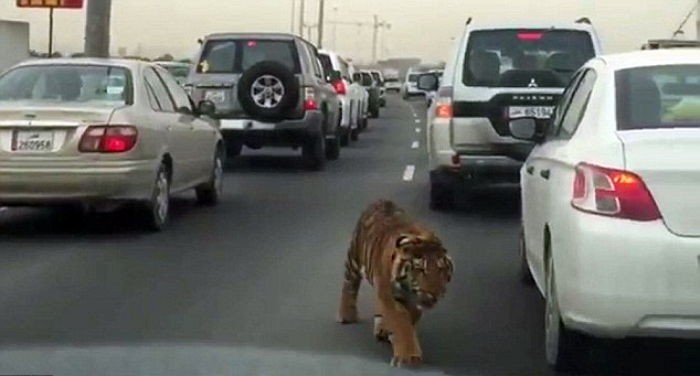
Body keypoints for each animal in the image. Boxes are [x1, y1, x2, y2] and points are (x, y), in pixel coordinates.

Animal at [338, 200, 454, 368]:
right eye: (421, 269)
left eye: (441, 271)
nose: (433, 294)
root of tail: (381, 200)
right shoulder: (390, 296)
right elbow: (401, 323)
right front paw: (408, 357)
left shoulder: (410, 302)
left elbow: (409, 319)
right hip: (354, 258)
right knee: (349, 285)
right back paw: (346, 315)